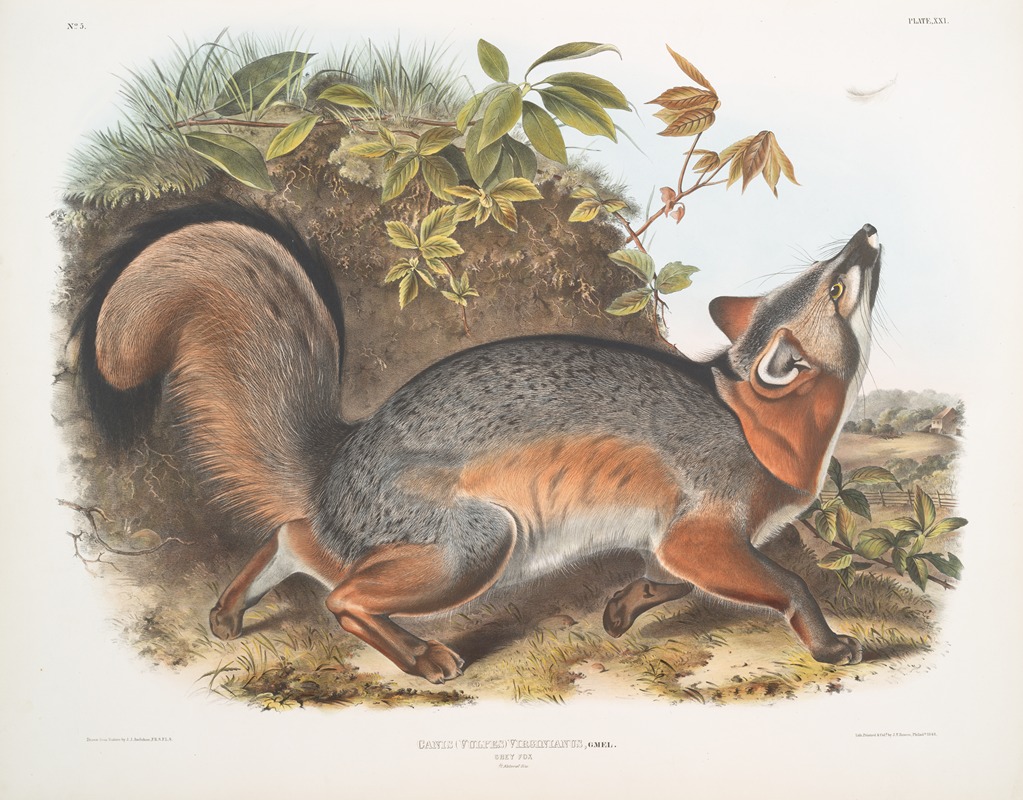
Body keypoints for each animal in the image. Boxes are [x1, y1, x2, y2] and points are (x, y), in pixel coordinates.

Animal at [75, 204, 881, 684]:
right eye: (835, 286)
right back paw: (422, 656)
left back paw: (230, 610)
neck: (755, 422)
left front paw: (622, 610)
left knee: (294, 536)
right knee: (340, 594)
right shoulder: (701, 532)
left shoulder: (676, 538)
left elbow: (669, 578)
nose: (866, 234)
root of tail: (342, 455)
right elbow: (788, 582)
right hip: (479, 545)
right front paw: (827, 643)